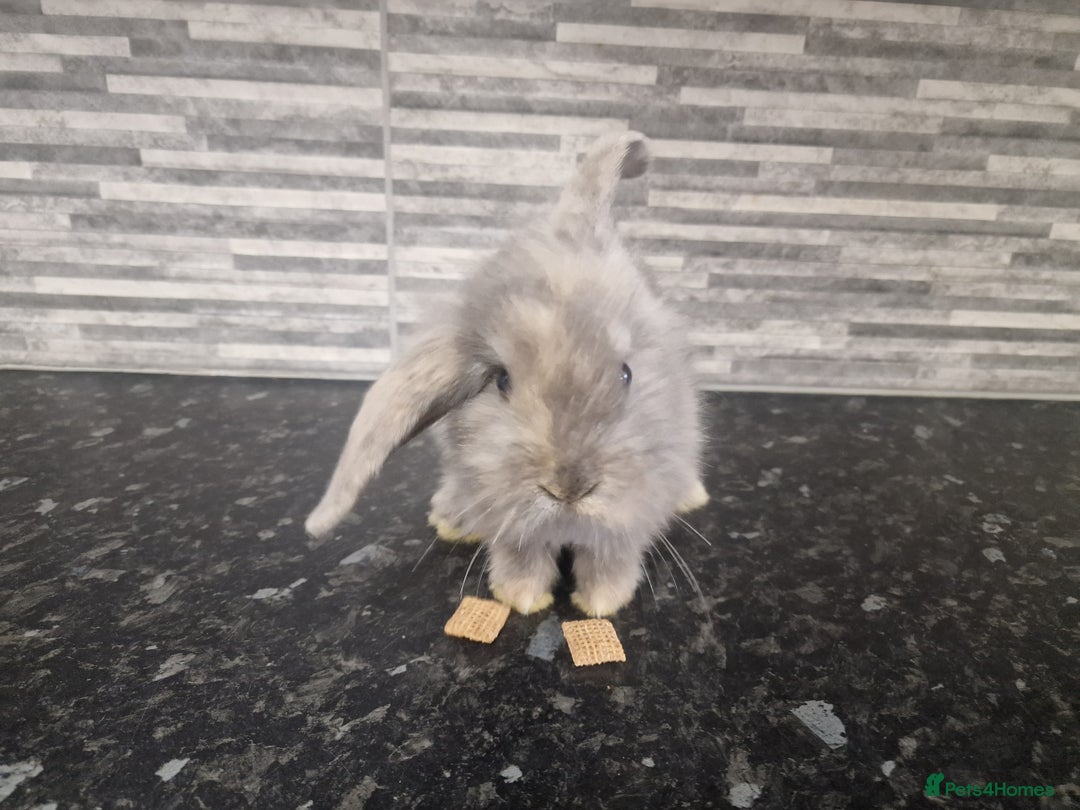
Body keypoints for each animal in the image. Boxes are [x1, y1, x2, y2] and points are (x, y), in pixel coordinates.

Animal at [305, 131, 707, 617]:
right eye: (501, 381)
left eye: (627, 373)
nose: (568, 489)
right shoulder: (507, 520)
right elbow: (521, 554)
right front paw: (522, 598)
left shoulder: (628, 522)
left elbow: (610, 558)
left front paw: (602, 604)